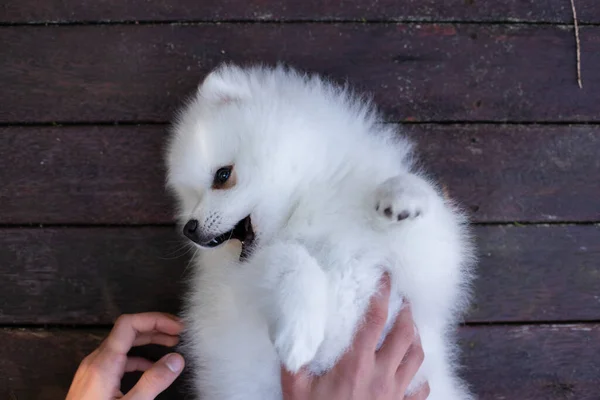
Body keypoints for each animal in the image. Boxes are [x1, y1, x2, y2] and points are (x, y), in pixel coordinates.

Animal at [166, 64, 476, 398]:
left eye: (222, 176)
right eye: (189, 198)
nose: (189, 229)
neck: (308, 205)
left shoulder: (421, 282)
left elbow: (428, 225)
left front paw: (401, 198)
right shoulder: (238, 286)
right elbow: (289, 257)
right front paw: (298, 334)